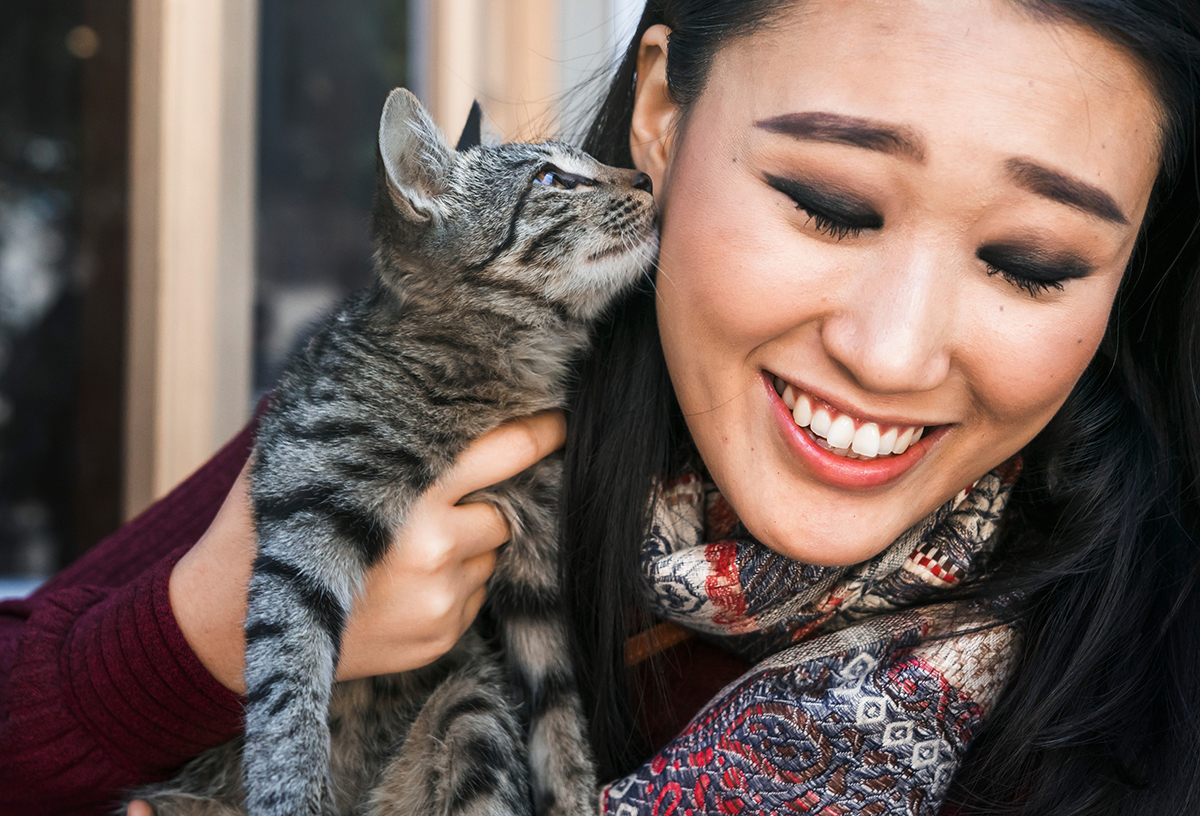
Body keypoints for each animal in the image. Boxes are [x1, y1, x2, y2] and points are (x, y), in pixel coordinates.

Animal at [130, 89, 657, 816]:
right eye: (553, 179)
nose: (648, 178)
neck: (498, 371)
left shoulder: (534, 570)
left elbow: (559, 712)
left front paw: (575, 796)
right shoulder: (303, 518)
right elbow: (288, 678)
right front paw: (289, 791)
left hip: (471, 706)